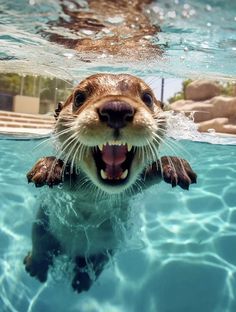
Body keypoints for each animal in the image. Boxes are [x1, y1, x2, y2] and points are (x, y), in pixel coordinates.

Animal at [24, 73, 197, 292]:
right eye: (79, 97)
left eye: (148, 98)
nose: (116, 108)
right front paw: (48, 167)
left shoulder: (133, 188)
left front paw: (175, 166)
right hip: (44, 230)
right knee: (41, 248)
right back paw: (35, 266)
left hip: (103, 251)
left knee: (91, 263)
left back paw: (81, 281)